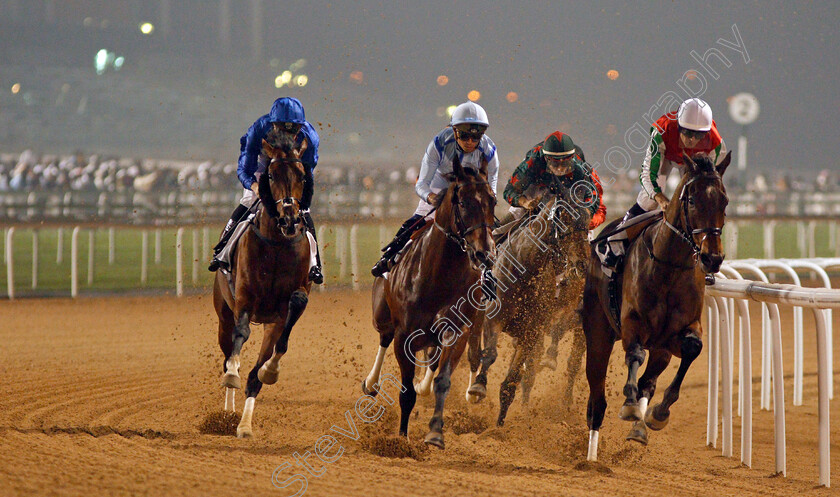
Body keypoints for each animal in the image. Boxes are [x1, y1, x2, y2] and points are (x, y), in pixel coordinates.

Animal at [213, 134, 312, 436]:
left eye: (302, 175)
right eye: (271, 174)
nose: (290, 219)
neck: (278, 244)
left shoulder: (280, 314)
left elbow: (273, 354)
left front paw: (270, 371)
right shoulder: (244, 298)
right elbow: (241, 335)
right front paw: (232, 376)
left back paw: (242, 422)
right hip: (223, 315)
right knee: (227, 351)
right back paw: (228, 411)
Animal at [362, 156, 496, 450]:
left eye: (492, 200)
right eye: (462, 202)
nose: (484, 253)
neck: (439, 276)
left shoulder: (458, 331)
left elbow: (442, 381)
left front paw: (435, 433)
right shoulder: (405, 335)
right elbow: (406, 392)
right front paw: (401, 439)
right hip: (382, 314)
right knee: (383, 339)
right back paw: (371, 383)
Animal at [466, 188, 592, 424]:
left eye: (589, 220)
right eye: (566, 217)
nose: (582, 263)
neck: (525, 269)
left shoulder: (532, 332)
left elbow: (513, 379)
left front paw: (500, 425)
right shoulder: (493, 319)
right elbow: (490, 353)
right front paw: (478, 387)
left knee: (570, 364)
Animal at [584, 152, 728, 462]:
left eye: (724, 201)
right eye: (692, 200)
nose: (712, 258)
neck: (670, 266)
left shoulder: (677, 333)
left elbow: (691, 349)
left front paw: (658, 413)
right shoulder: (632, 323)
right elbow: (635, 354)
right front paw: (629, 403)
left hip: (660, 349)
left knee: (648, 381)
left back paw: (639, 426)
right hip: (598, 329)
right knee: (597, 394)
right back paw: (591, 452)